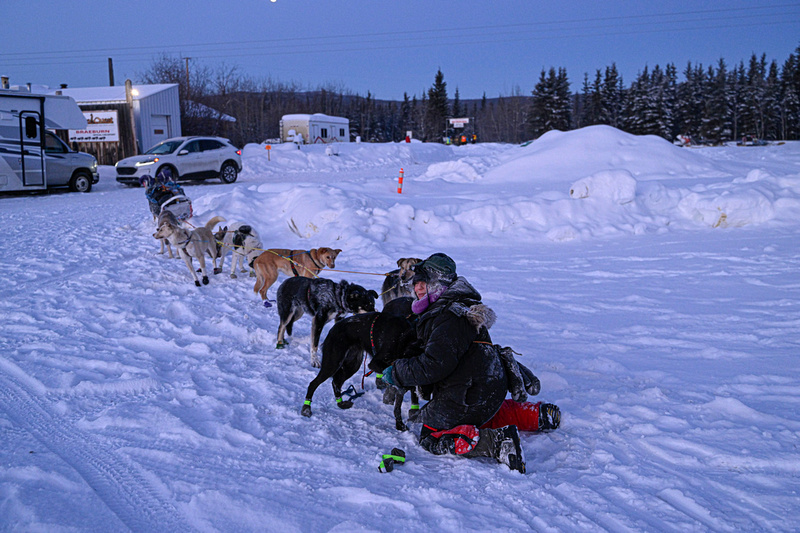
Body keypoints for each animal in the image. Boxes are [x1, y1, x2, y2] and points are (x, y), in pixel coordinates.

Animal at [302, 302, 422, 430]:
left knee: (336, 382)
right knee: (313, 383)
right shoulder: (376, 363)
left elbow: (400, 402)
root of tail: (334, 328)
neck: (404, 338)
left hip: (352, 365)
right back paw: (306, 408)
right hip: (332, 364)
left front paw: (400, 424)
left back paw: (341, 403)